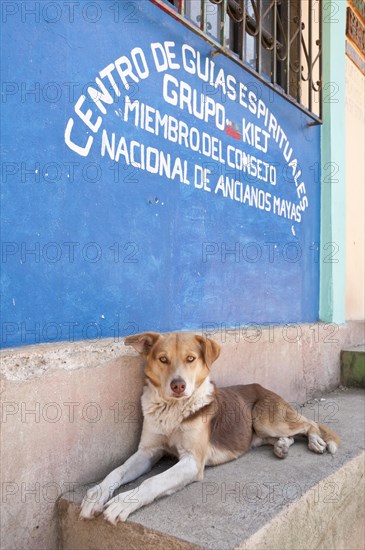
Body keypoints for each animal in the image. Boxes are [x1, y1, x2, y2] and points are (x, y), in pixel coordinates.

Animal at [79, 332, 338, 528]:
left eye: (191, 358)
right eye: (163, 359)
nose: (178, 385)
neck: (173, 409)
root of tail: (264, 387)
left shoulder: (192, 461)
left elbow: (153, 482)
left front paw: (124, 501)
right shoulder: (147, 452)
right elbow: (117, 471)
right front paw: (96, 494)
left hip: (266, 419)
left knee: (309, 423)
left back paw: (316, 441)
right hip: (260, 432)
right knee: (285, 437)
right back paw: (282, 446)